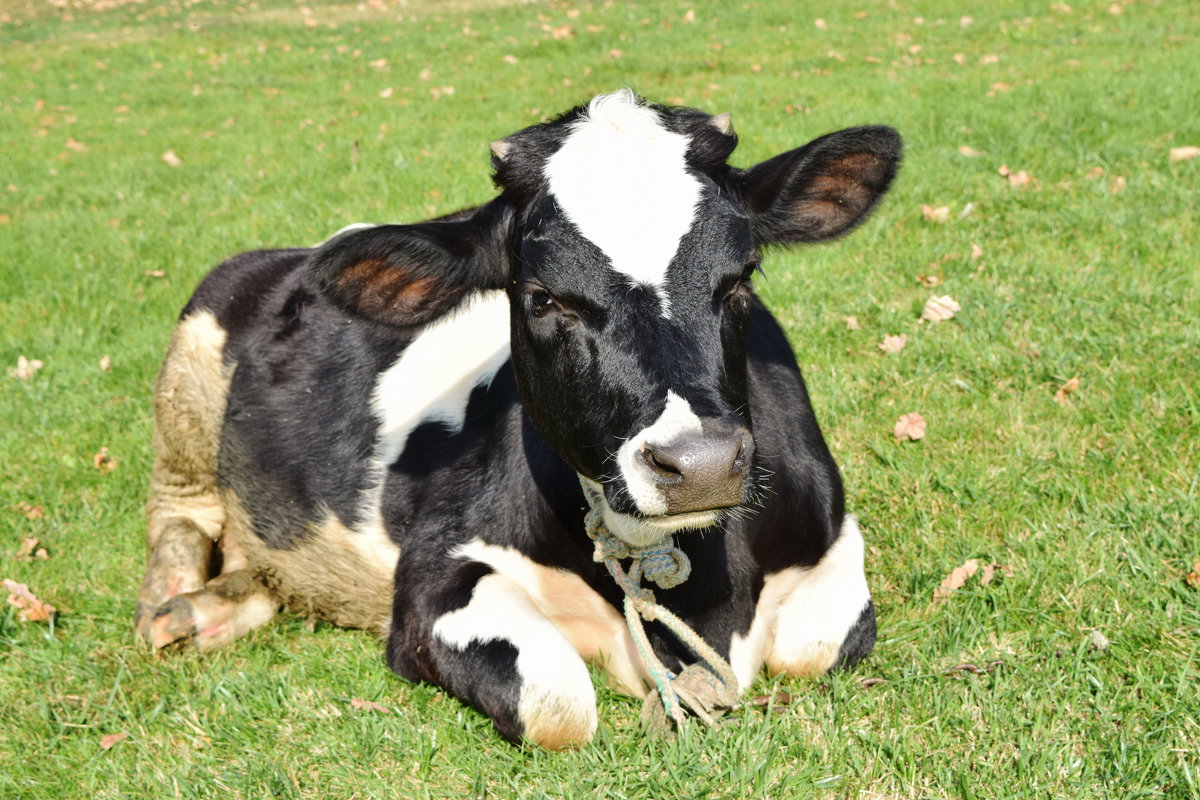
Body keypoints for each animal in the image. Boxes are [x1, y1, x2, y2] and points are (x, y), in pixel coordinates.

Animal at [136, 92, 902, 753]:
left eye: (743, 274)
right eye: (542, 297)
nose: (702, 464)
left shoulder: (834, 533)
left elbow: (813, 649)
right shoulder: (433, 573)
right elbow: (557, 705)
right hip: (188, 373)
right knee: (180, 513)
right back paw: (170, 604)